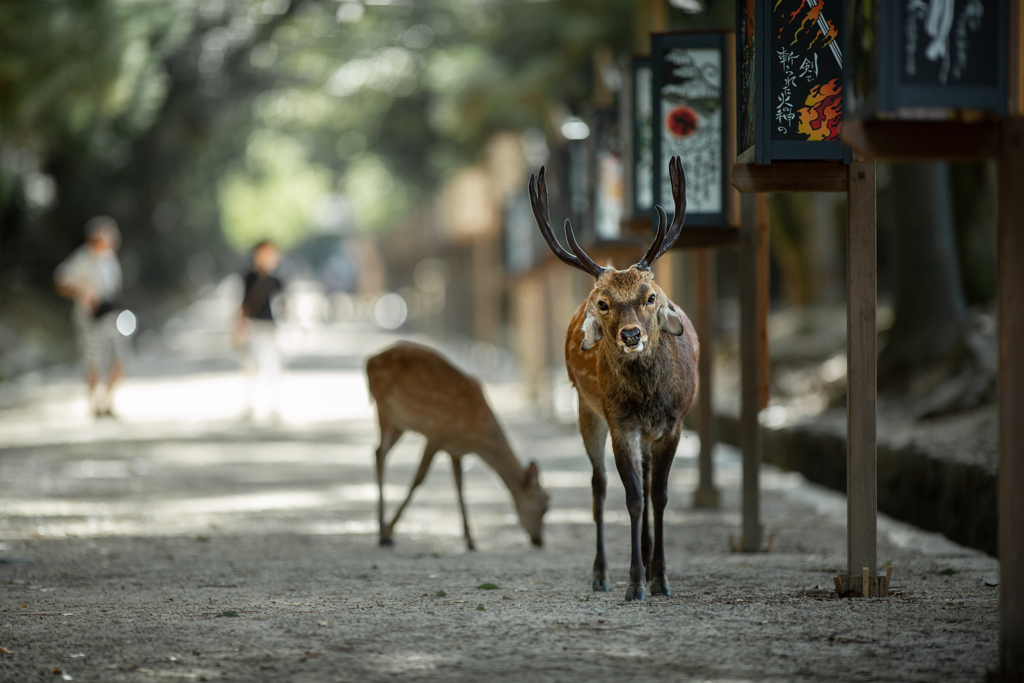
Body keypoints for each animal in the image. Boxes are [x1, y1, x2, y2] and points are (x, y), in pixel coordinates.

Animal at [364, 342, 548, 548]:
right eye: (545, 506)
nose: (539, 541)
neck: (478, 436)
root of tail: (369, 361)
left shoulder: (455, 450)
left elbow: (460, 485)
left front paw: (471, 540)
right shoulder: (436, 435)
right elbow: (418, 479)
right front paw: (390, 529)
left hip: (400, 424)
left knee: (377, 452)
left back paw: (380, 528)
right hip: (384, 407)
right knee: (381, 455)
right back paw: (382, 535)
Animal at [532, 156, 700, 602]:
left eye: (651, 297)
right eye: (604, 303)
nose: (631, 335)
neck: (649, 400)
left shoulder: (674, 423)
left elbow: (659, 496)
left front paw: (661, 578)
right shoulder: (621, 422)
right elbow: (633, 499)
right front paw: (636, 582)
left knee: (644, 481)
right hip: (586, 409)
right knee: (600, 485)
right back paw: (601, 573)